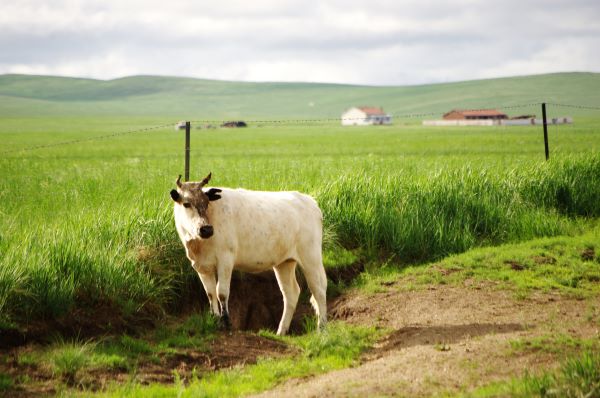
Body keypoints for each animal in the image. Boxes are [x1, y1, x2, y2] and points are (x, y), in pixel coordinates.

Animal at [169, 173, 328, 334]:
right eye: (186, 204)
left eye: (206, 202)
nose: (206, 229)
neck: (198, 245)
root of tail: (310, 201)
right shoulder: (202, 266)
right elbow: (210, 293)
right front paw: (215, 320)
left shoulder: (225, 259)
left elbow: (222, 292)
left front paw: (226, 323)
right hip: (284, 262)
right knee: (291, 293)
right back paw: (281, 331)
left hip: (311, 257)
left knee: (319, 289)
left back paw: (321, 328)